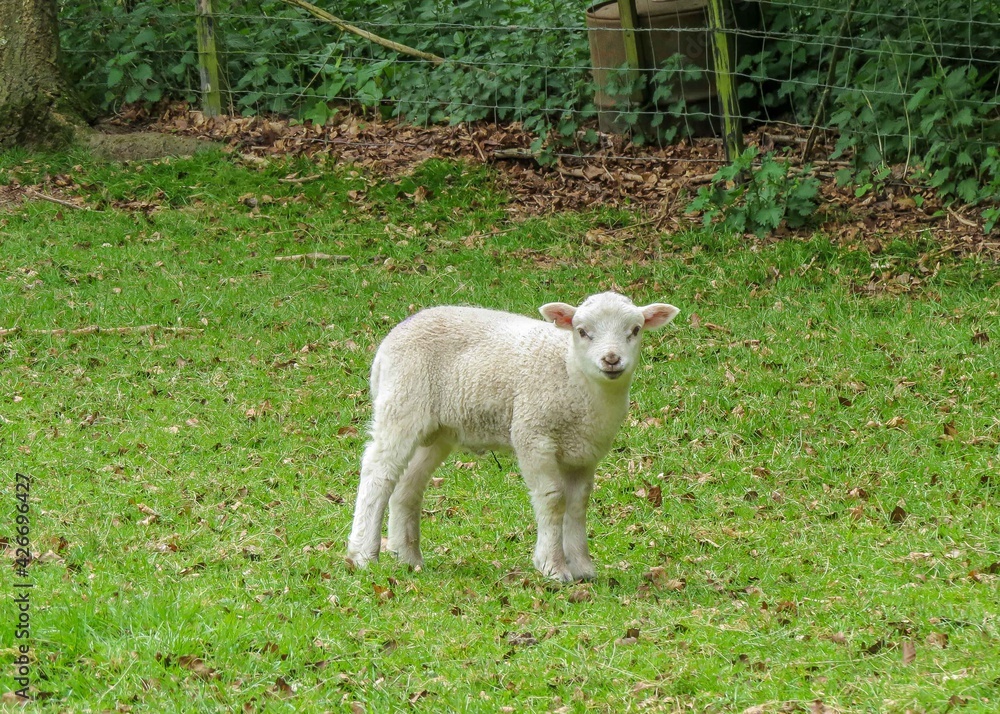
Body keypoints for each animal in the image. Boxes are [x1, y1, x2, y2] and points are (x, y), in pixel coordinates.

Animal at [346, 291, 679, 582]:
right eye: (582, 331)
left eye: (635, 330)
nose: (611, 359)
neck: (572, 373)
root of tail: (390, 340)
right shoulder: (532, 434)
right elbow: (553, 499)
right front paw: (553, 567)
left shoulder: (584, 451)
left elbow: (577, 503)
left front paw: (582, 567)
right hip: (402, 403)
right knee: (378, 472)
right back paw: (363, 554)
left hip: (438, 429)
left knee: (407, 485)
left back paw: (408, 557)